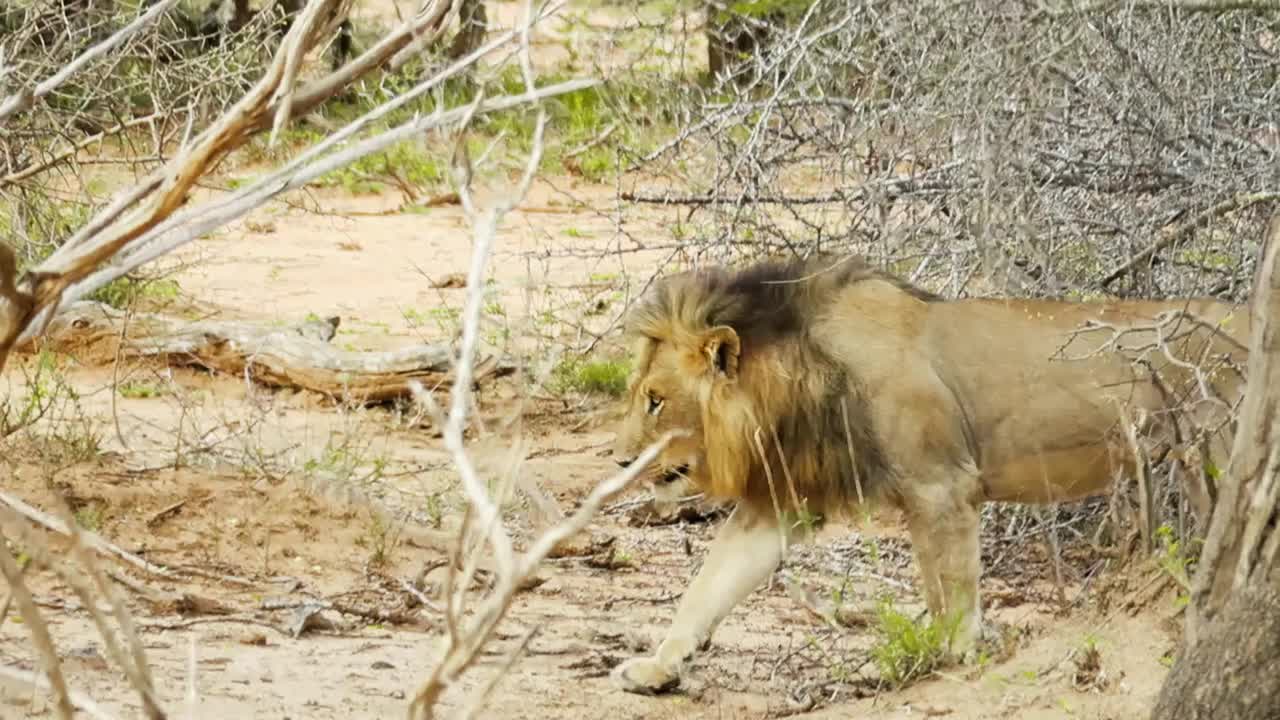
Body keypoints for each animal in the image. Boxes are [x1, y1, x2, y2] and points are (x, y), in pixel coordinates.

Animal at [606, 253, 1249, 696]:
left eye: (656, 401)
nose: (618, 459)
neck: (797, 385)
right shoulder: (783, 500)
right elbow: (709, 585)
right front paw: (658, 665)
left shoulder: (942, 486)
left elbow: (954, 588)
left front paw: (959, 657)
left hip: (1223, 447)